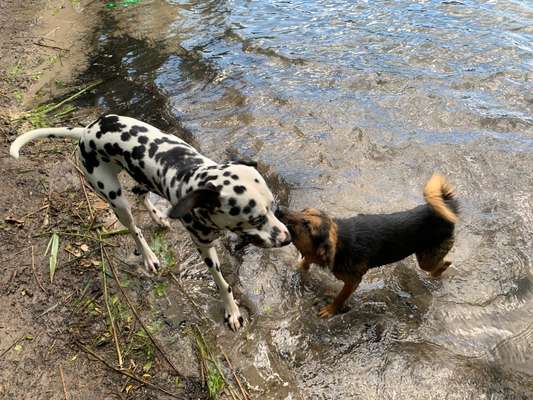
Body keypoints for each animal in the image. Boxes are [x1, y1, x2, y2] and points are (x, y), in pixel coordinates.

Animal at [9, 115, 290, 332]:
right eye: (255, 219)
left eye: (274, 207)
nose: (287, 238)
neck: (194, 178)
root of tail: (87, 130)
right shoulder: (203, 247)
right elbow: (222, 283)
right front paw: (232, 311)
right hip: (115, 198)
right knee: (134, 228)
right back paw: (148, 256)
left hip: (142, 177)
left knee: (139, 193)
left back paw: (158, 217)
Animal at [274, 175, 458, 318]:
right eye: (303, 210)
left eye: (306, 224)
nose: (278, 208)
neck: (339, 244)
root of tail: (446, 209)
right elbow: (305, 262)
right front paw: (301, 267)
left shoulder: (353, 281)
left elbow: (340, 297)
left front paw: (331, 310)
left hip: (426, 261)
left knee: (445, 262)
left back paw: (437, 274)